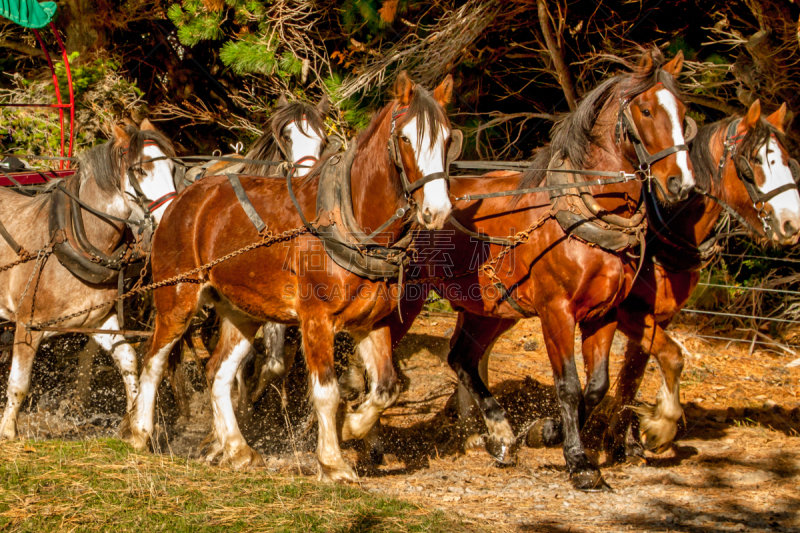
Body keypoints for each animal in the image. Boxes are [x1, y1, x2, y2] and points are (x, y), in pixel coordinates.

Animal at [0, 122, 175, 438]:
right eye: (140, 170)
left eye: (172, 167)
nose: (172, 218)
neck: (69, 238)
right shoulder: (26, 325)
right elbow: (18, 384)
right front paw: (7, 433)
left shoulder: (96, 320)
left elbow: (128, 359)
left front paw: (132, 423)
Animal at [126, 72, 456, 480]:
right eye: (407, 138)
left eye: (447, 139)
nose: (437, 210)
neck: (351, 224)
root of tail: (184, 198)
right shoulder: (316, 320)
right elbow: (326, 392)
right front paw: (333, 462)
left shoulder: (372, 323)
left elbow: (385, 388)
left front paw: (353, 426)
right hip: (177, 298)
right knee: (154, 361)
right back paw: (140, 434)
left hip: (241, 311)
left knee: (219, 373)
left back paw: (236, 448)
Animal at [372, 47, 696, 488]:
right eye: (645, 111)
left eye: (682, 111)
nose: (682, 183)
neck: (585, 213)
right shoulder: (555, 311)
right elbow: (569, 386)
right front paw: (578, 460)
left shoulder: (605, 314)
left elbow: (597, 385)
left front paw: (547, 431)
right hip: (406, 300)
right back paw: (370, 438)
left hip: (489, 310)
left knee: (462, 360)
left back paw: (500, 437)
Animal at [604, 100, 796, 462]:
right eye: (753, 163)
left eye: (789, 161)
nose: (792, 223)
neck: (663, 228)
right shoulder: (626, 312)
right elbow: (673, 357)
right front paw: (661, 426)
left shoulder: (658, 316)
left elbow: (632, 376)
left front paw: (618, 439)